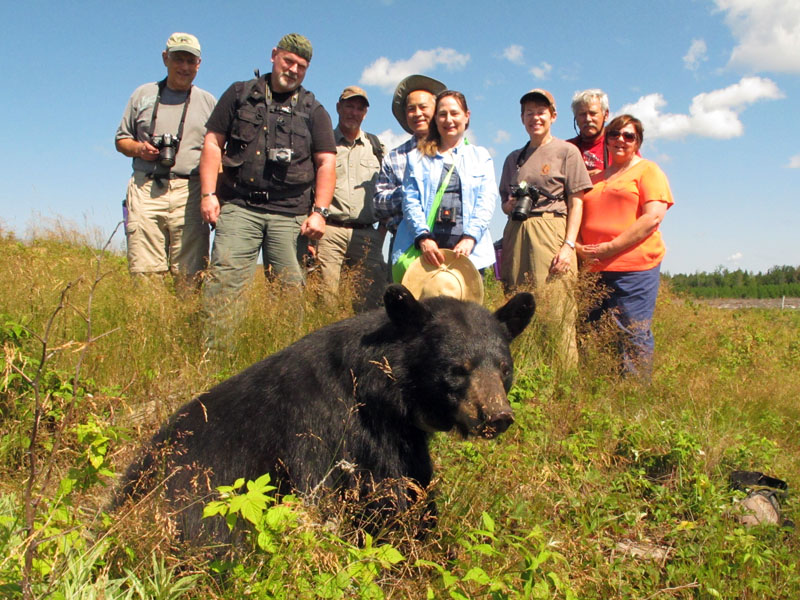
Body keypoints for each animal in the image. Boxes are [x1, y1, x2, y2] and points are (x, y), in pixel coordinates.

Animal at [118, 284, 535, 543]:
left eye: (503, 368)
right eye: (457, 369)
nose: (496, 416)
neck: (382, 392)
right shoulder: (346, 434)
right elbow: (391, 500)